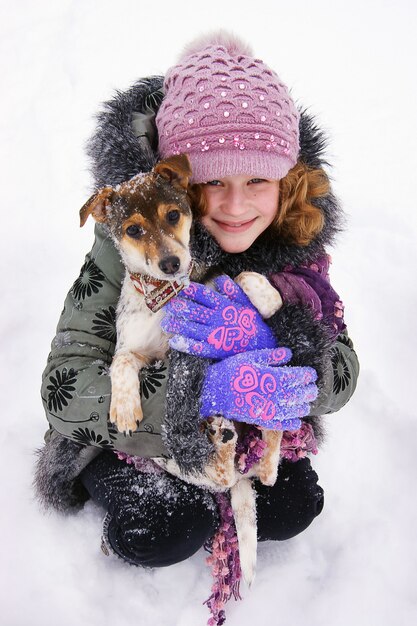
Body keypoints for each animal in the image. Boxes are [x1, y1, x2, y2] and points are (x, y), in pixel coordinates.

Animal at [78, 152, 284, 584]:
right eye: (133, 229)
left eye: (173, 215)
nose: (172, 263)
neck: (168, 298)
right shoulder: (137, 350)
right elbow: (122, 360)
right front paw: (124, 406)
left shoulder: (212, 286)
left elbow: (240, 278)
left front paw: (259, 300)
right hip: (177, 461)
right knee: (225, 476)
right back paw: (223, 439)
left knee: (268, 460)